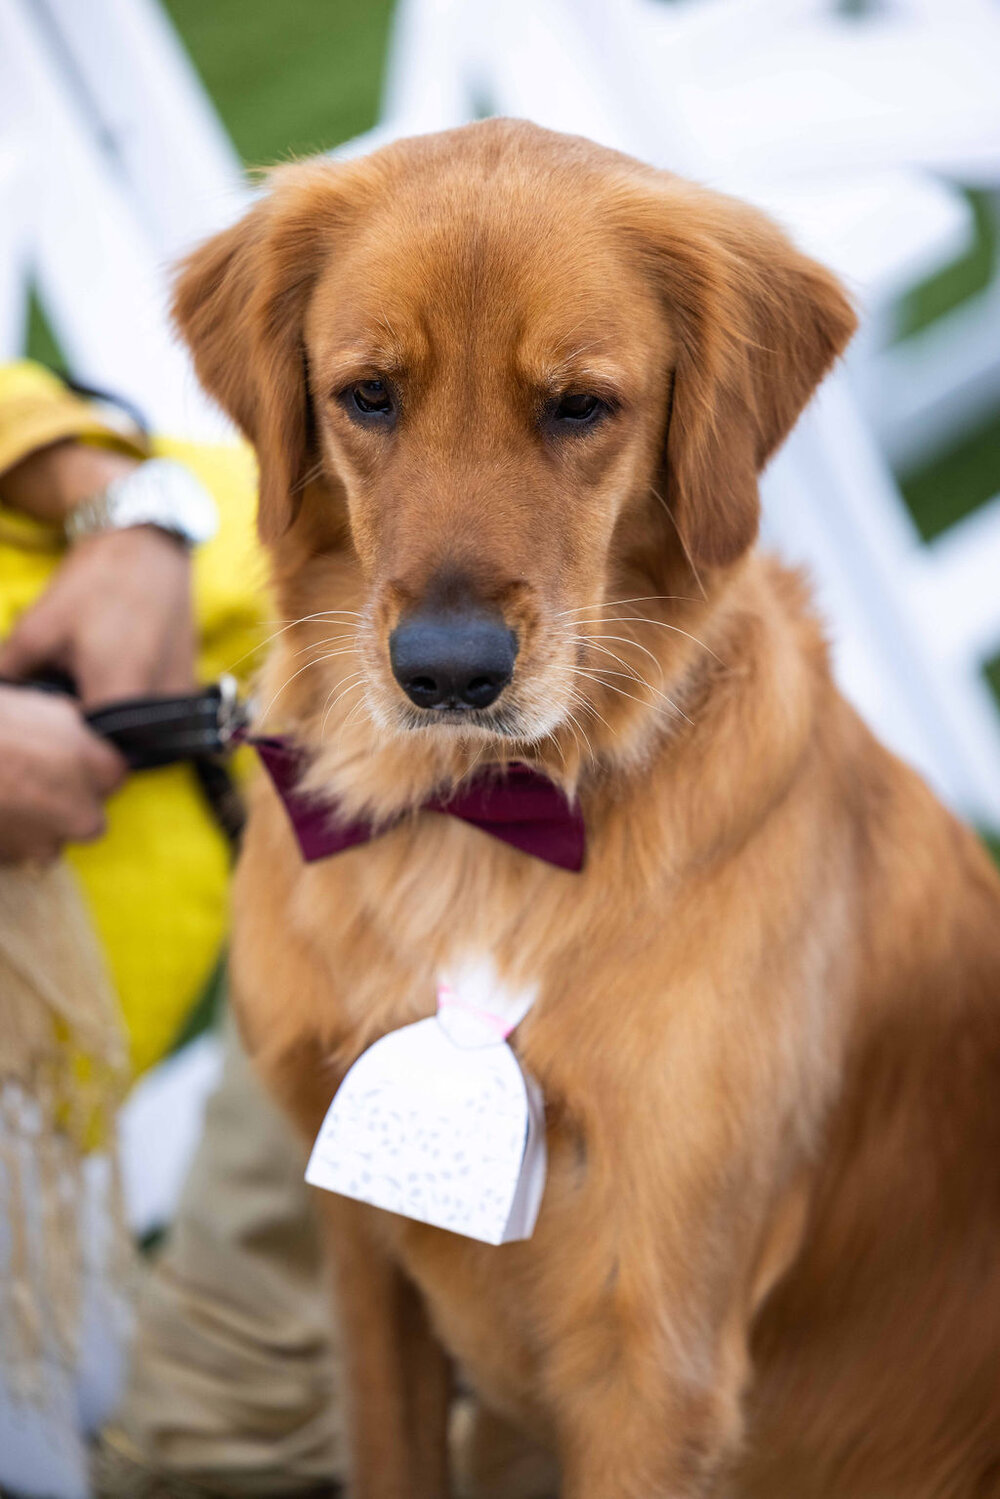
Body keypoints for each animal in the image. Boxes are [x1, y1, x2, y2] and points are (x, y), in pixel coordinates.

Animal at [176, 119, 1000, 1499]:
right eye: (368, 395)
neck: (471, 827)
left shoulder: (649, 1341)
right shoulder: (358, 1245)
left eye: (579, 406)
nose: (448, 671)